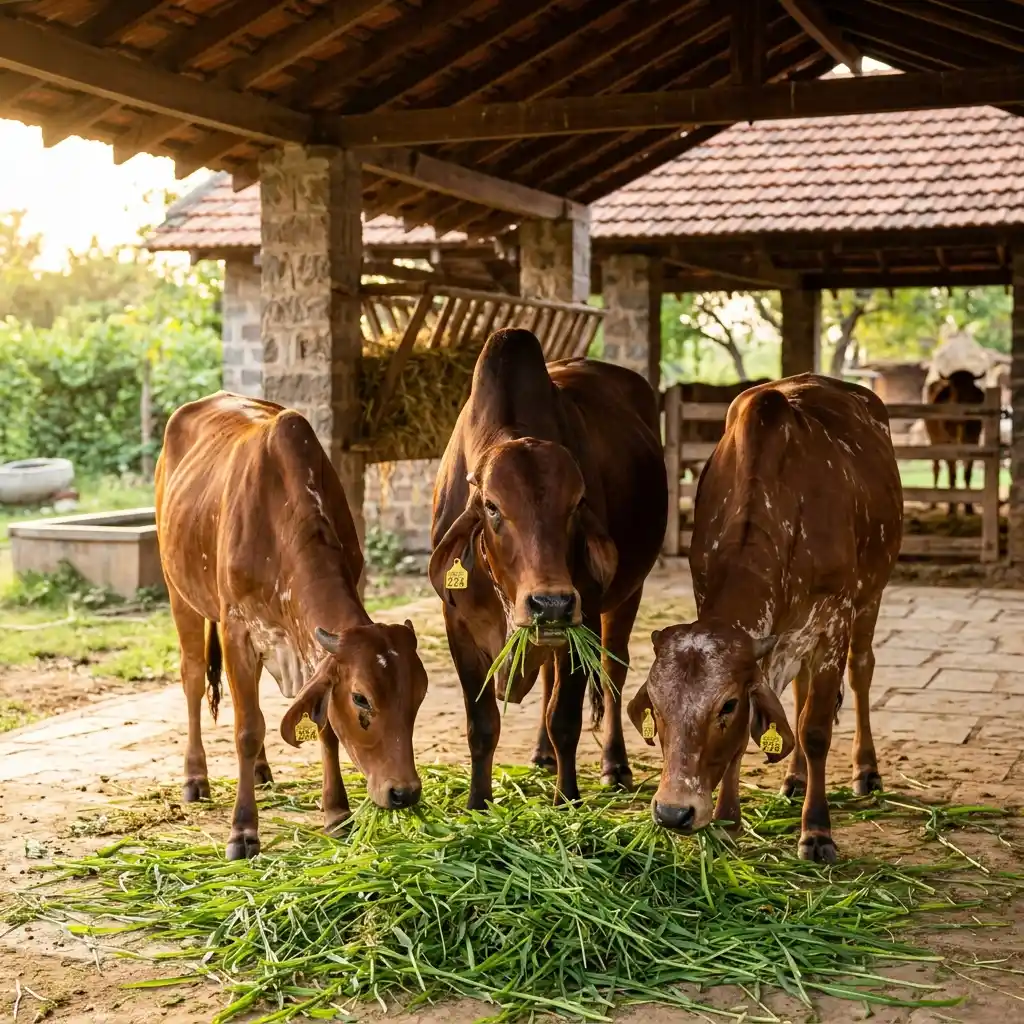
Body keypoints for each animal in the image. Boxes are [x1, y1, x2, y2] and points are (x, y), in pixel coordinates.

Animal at [155, 392, 429, 860]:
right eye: (362, 699)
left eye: (418, 697)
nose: (404, 793)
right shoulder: (236, 630)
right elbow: (246, 728)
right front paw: (243, 832)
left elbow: (322, 724)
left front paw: (337, 813)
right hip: (180, 593)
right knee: (192, 678)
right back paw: (195, 778)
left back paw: (261, 770)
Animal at [428, 328, 668, 809]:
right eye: (492, 507)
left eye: (576, 504)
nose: (550, 603)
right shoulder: (457, 625)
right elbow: (482, 723)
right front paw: (477, 803)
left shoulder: (584, 613)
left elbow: (566, 718)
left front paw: (567, 799)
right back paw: (540, 753)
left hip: (624, 596)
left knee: (612, 674)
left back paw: (614, 764)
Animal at [627, 374, 902, 863]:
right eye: (655, 707)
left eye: (726, 705)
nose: (673, 812)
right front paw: (726, 823)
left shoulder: (834, 621)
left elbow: (814, 729)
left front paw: (817, 832)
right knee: (799, 691)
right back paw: (794, 778)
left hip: (871, 595)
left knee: (861, 672)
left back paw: (865, 771)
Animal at [924, 369, 986, 515]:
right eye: (952, 387)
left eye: (970, 386)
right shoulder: (947, 444)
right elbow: (952, 475)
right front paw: (952, 509)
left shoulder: (974, 441)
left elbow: (967, 474)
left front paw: (969, 508)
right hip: (934, 440)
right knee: (936, 467)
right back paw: (933, 503)